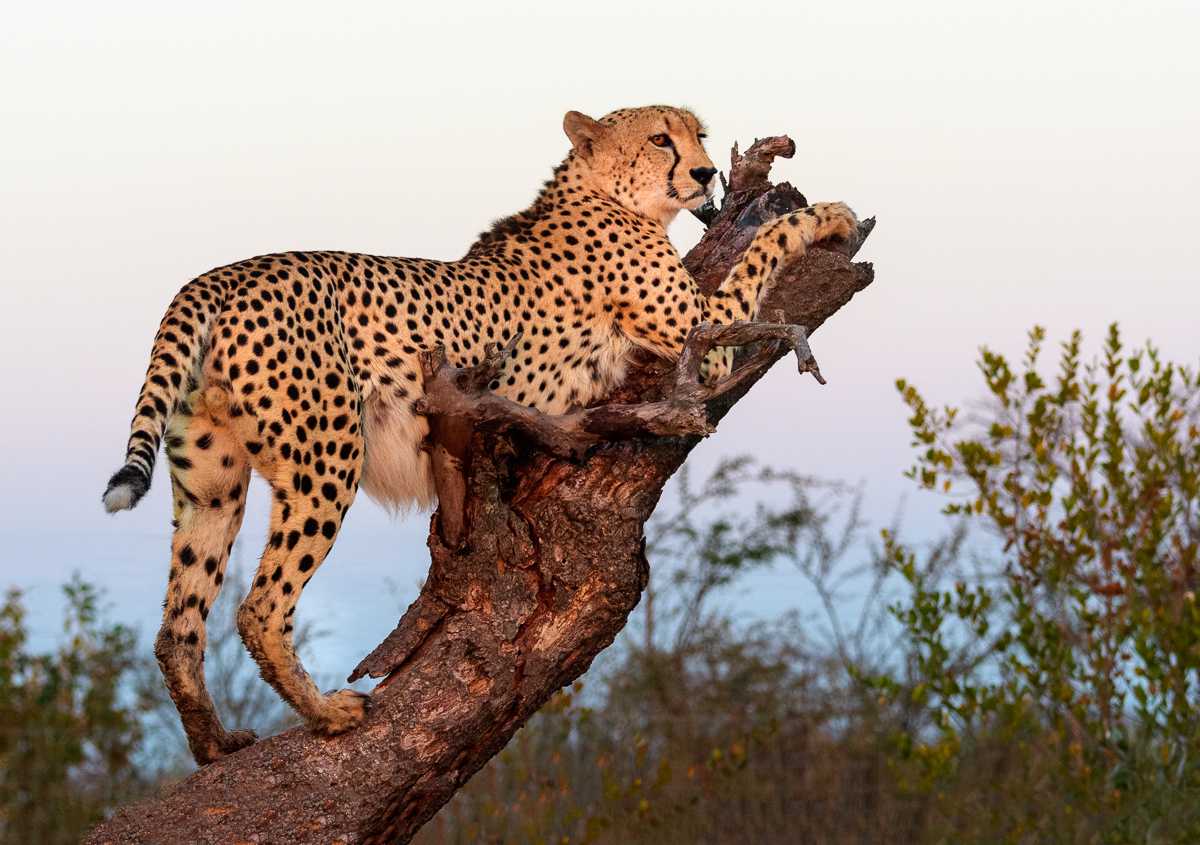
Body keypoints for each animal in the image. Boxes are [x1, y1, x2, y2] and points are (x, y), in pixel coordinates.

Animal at [103, 105, 858, 764]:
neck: (604, 193)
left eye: (698, 133)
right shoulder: (708, 337)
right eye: (659, 138)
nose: (705, 173)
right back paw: (326, 715)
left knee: (177, 627)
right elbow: (762, 247)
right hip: (328, 458)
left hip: (212, 486)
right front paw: (828, 216)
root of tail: (216, 276)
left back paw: (212, 745)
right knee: (259, 607)